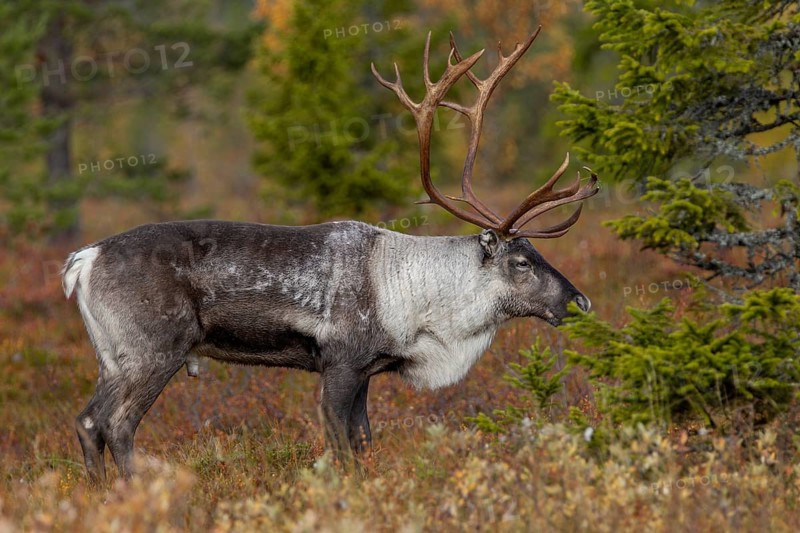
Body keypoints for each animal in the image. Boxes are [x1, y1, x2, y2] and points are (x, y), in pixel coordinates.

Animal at [62, 26, 599, 482]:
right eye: (521, 262)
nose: (579, 302)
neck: (417, 302)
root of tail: (83, 260)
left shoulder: (365, 371)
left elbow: (363, 441)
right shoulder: (340, 362)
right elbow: (341, 444)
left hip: (111, 357)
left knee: (88, 422)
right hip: (152, 352)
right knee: (117, 425)